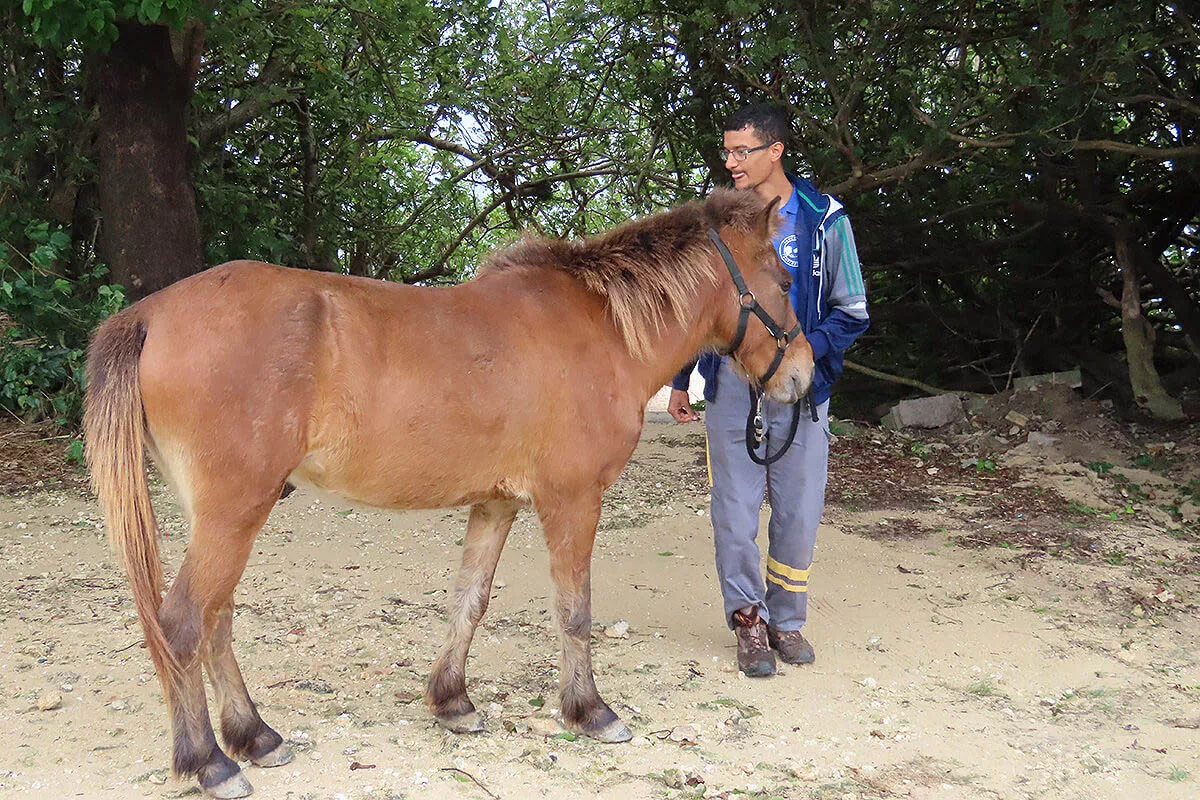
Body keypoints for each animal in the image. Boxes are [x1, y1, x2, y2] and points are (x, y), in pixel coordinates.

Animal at [83, 188, 813, 798]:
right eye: (783, 281)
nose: (803, 377)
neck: (600, 327)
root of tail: (150, 313)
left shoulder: (496, 502)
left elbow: (470, 600)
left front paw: (452, 702)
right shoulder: (573, 501)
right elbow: (573, 611)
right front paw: (590, 711)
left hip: (223, 517)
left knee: (216, 621)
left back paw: (255, 736)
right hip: (234, 513)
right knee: (184, 622)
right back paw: (209, 762)